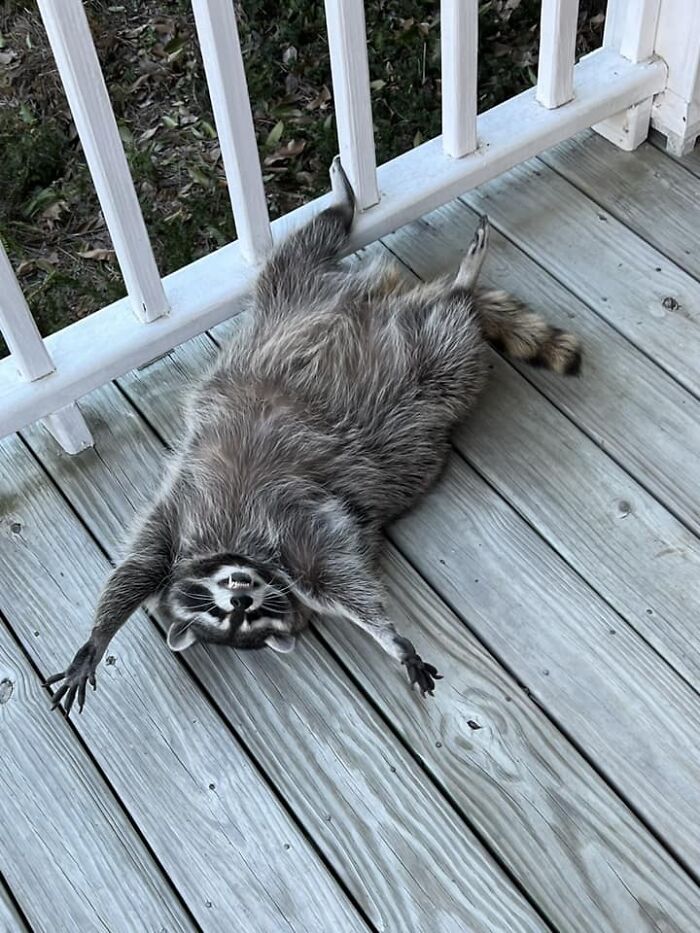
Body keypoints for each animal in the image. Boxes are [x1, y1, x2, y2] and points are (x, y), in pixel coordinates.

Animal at [46, 157, 581, 714]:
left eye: (241, 611)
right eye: (224, 617)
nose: (241, 594)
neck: (239, 545)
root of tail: (382, 297)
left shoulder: (197, 519)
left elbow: (138, 568)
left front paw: (95, 638)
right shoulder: (287, 539)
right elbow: (336, 577)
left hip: (290, 297)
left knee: (303, 249)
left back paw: (395, 238)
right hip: (422, 366)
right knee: (426, 327)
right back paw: (451, 286)